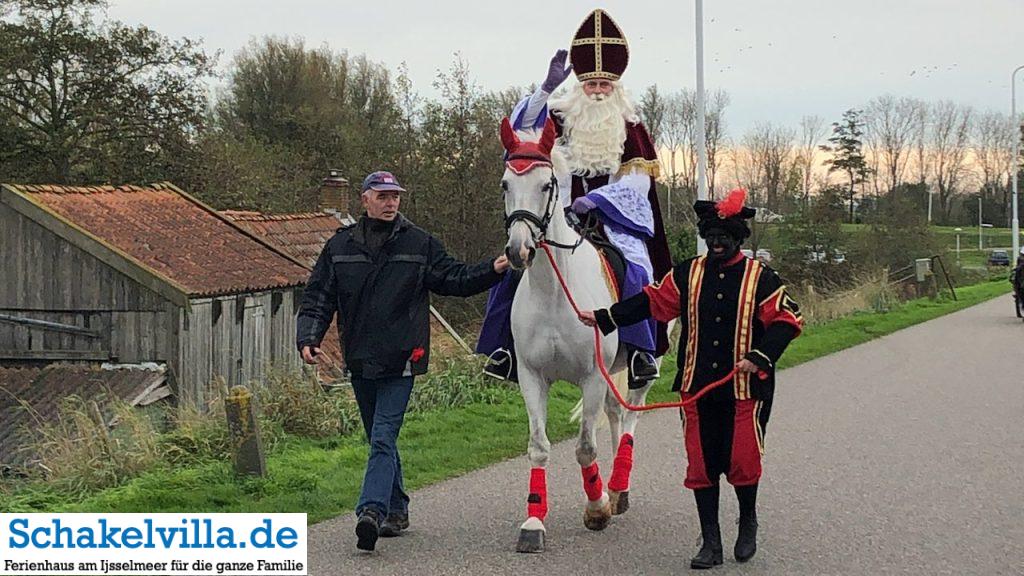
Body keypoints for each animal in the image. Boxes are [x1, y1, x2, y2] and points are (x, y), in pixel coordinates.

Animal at [497, 117, 651, 553]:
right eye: (505, 184)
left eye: (546, 185)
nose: (518, 251)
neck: (553, 292)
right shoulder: (532, 377)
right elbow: (538, 447)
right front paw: (533, 521)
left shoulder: (592, 376)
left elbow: (584, 448)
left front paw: (596, 509)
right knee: (616, 415)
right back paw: (616, 489)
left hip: (639, 366)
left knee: (630, 417)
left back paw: (618, 488)